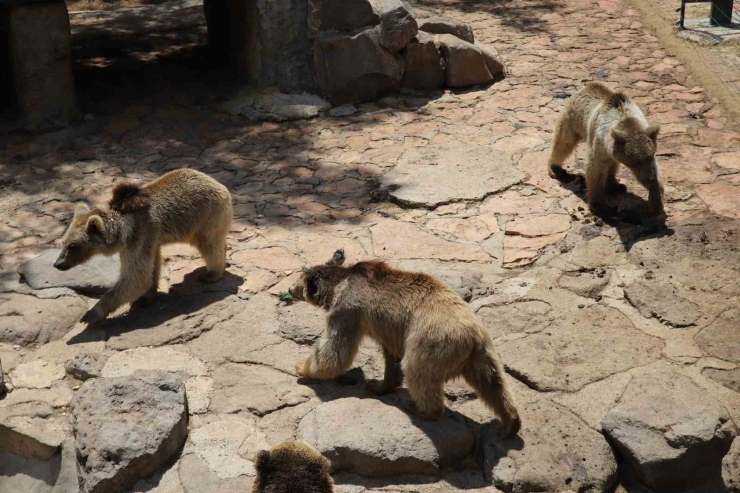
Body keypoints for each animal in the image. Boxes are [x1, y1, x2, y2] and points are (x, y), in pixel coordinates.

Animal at [55, 167, 233, 324]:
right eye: (63, 242)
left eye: (72, 246)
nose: (58, 264)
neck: (122, 231)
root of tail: (218, 184)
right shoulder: (150, 240)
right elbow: (151, 267)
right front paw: (145, 297)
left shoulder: (139, 236)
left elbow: (136, 277)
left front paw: (91, 314)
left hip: (205, 216)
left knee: (209, 245)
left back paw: (211, 274)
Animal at [288, 248, 520, 436]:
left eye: (297, 281)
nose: (289, 290)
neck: (339, 285)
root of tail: (471, 336)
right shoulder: (390, 329)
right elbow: (391, 358)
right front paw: (379, 384)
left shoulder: (347, 311)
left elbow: (335, 351)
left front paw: (302, 367)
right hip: (483, 353)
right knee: (493, 382)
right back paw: (510, 423)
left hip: (430, 341)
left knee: (418, 372)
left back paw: (418, 407)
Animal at [548, 80, 664, 215]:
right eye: (635, 161)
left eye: (649, 157)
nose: (649, 178)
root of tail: (586, 86)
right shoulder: (599, 143)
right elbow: (595, 169)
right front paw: (599, 205)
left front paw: (656, 202)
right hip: (572, 120)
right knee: (563, 143)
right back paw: (555, 168)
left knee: (612, 165)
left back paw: (616, 185)